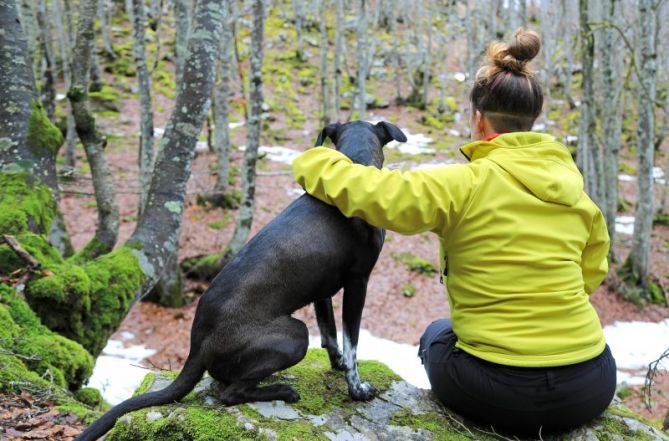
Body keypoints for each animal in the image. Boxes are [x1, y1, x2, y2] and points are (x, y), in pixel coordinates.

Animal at [75, 120, 404, 440]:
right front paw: (357, 389)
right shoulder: (358, 282)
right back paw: (281, 390)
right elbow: (352, 343)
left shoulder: (321, 292)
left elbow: (331, 335)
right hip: (294, 335)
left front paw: (337, 365)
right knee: (230, 394)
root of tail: (197, 347)